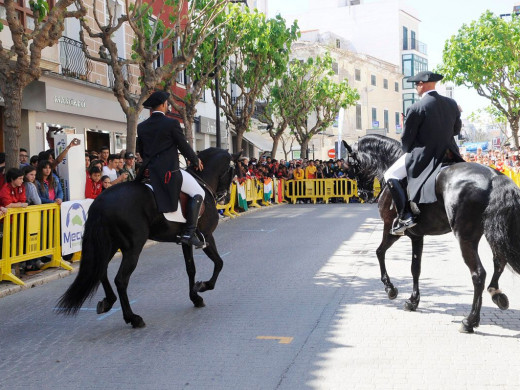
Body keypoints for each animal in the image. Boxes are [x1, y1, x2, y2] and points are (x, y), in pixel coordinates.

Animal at [57, 148, 240, 328]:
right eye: (233, 171)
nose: (225, 197)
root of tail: (101, 201)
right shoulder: (207, 236)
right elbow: (219, 263)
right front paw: (203, 286)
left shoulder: (186, 241)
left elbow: (191, 269)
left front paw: (195, 297)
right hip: (132, 248)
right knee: (121, 280)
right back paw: (133, 318)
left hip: (110, 244)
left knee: (101, 270)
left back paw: (108, 302)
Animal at [348, 136, 520, 334]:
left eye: (350, 163)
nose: (362, 194)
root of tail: (494, 177)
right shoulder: (417, 236)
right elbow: (415, 268)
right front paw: (413, 301)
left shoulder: (390, 229)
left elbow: (379, 252)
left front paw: (390, 289)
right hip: (492, 231)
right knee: (499, 262)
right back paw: (496, 295)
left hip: (466, 237)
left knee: (478, 274)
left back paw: (469, 321)